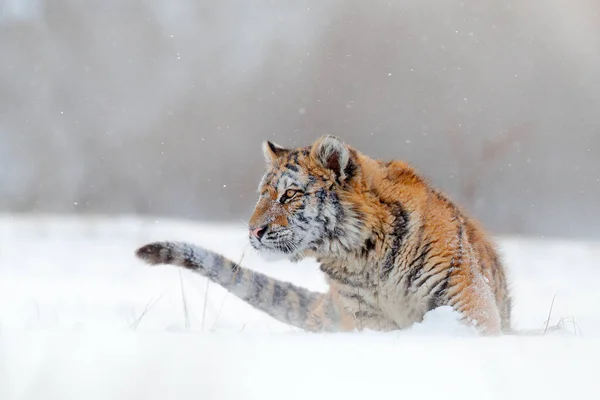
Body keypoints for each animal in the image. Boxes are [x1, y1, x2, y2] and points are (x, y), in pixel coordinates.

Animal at [136, 134, 510, 334]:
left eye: (289, 194)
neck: (362, 258)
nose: (254, 230)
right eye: (262, 194)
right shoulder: (364, 316)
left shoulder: (462, 297)